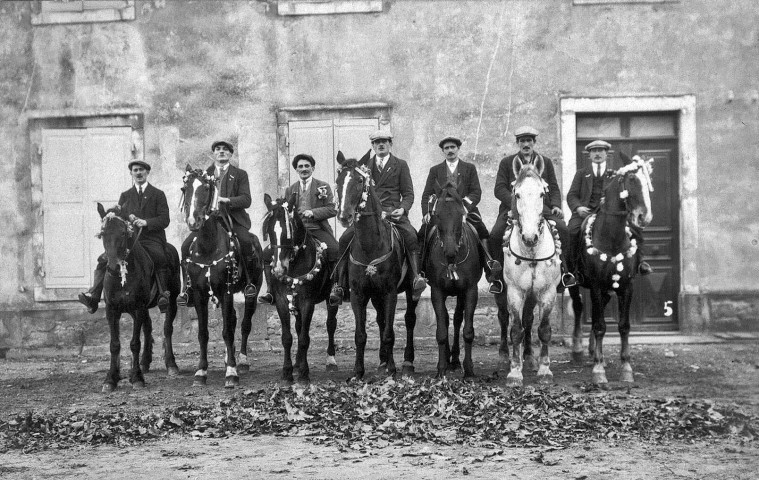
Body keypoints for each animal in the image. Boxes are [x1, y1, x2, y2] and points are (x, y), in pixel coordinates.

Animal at [96, 203, 181, 394]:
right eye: (103, 233)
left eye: (122, 233)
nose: (112, 267)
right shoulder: (112, 310)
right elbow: (115, 344)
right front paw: (111, 379)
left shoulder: (138, 307)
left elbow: (135, 343)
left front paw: (136, 378)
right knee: (148, 328)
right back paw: (144, 362)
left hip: (171, 301)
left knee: (167, 329)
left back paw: (171, 364)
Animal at [264, 193, 342, 384]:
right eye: (270, 230)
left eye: (288, 232)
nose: (279, 269)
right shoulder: (282, 301)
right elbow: (288, 337)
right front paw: (287, 372)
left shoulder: (308, 302)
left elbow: (305, 338)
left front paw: (304, 373)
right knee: (299, 327)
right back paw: (298, 362)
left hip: (330, 300)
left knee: (330, 324)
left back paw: (330, 360)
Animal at [424, 182, 484, 376]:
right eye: (437, 214)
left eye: (460, 214)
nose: (450, 252)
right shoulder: (436, 291)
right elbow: (441, 331)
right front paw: (441, 369)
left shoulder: (470, 290)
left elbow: (467, 330)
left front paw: (469, 370)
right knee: (447, 319)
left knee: (457, 319)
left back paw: (456, 360)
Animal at [504, 159, 564, 388]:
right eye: (517, 193)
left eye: (541, 193)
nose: (530, 237)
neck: (531, 252)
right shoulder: (514, 292)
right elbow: (515, 329)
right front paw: (514, 372)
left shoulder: (547, 293)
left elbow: (544, 329)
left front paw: (544, 369)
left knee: (529, 321)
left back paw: (529, 358)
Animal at [568, 156, 656, 384]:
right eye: (632, 178)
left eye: (648, 180)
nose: (644, 217)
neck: (612, 237)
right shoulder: (597, 286)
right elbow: (600, 326)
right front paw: (598, 371)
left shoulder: (626, 286)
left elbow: (623, 326)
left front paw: (626, 368)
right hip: (574, 282)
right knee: (579, 308)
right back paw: (578, 349)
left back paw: (593, 351)